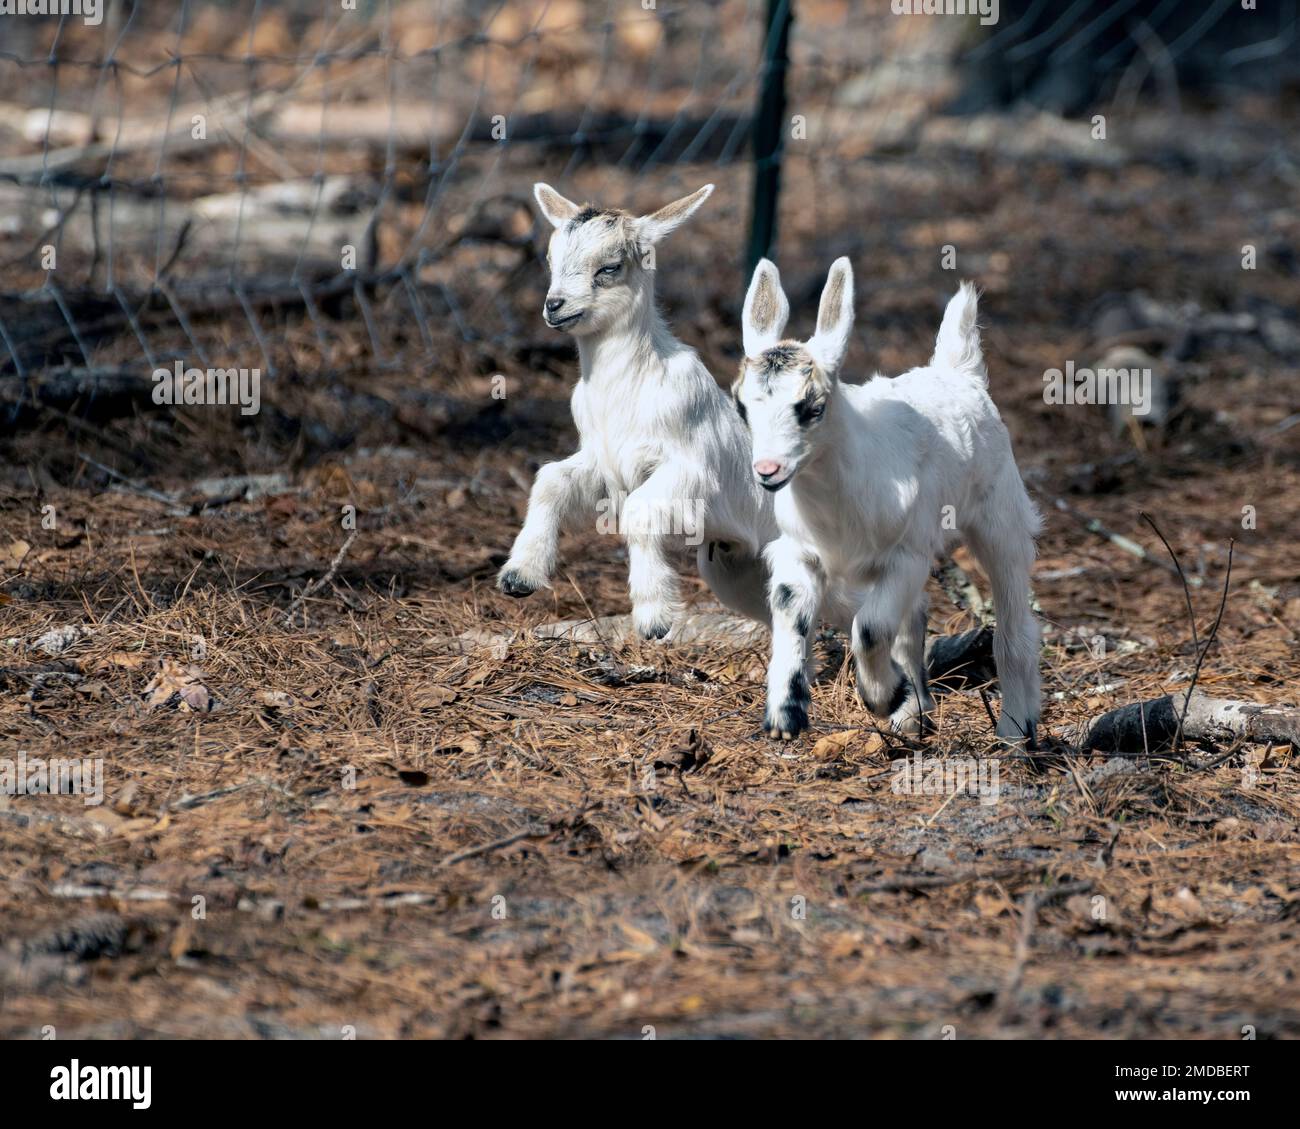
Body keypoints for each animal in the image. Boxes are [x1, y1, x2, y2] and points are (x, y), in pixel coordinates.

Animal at [493, 184, 774, 634]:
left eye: (610, 266)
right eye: (551, 260)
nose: (555, 305)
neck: (627, 390)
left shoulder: (690, 469)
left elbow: (641, 511)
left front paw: (654, 615)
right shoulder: (602, 461)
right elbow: (551, 479)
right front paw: (520, 577)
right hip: (736, 568)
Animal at [738, 258, 1040, 743]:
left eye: (813, 408)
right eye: (742, 408)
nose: (767, 470)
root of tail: (958, 371)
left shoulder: (907, 555)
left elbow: (869, 629)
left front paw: (881, 697)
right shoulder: (798, 550)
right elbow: (791, 611)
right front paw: (785, 714)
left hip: (1002, 516)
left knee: (1013, 624)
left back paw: (1015, 729)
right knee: (913, 620)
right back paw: (914, 714)